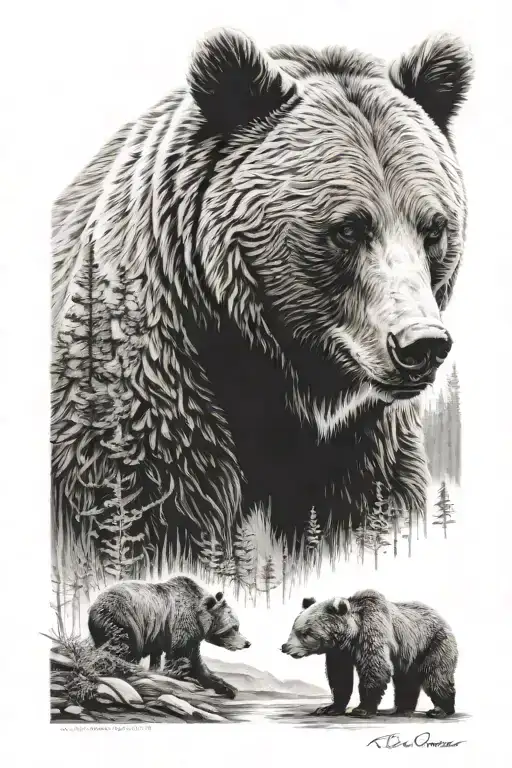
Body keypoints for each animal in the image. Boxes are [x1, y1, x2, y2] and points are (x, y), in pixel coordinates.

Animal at [51, 29, 473, 560]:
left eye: (433, 227)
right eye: (348, 228)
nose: (422, 343)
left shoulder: (363, 446)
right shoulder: (147, 403)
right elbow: (151, 512)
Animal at [88, 575, 250, 698]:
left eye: (238, 625)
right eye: (234, 627)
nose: (247, 643)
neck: (200, 619)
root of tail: (94, 605)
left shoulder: (167, 634)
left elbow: (196, 661)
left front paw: (227, 687)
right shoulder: (181, 623)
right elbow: (182, 656)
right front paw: (182, 675)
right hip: (123, 618)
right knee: (124, 647)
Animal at [281, 589, 457, 719]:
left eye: (306, 632)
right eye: (294, 627)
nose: (285, 647)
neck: (351, 636)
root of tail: (442, 618)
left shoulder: (372, 631)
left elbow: (375, 667)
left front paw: (361, 709)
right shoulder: (339, 652)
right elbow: (340, 677)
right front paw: (329, 708)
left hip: (432, 644)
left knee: (436, 675)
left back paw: (440, 709)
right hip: (408, 655)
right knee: (406, 680)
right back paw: (402, 709)